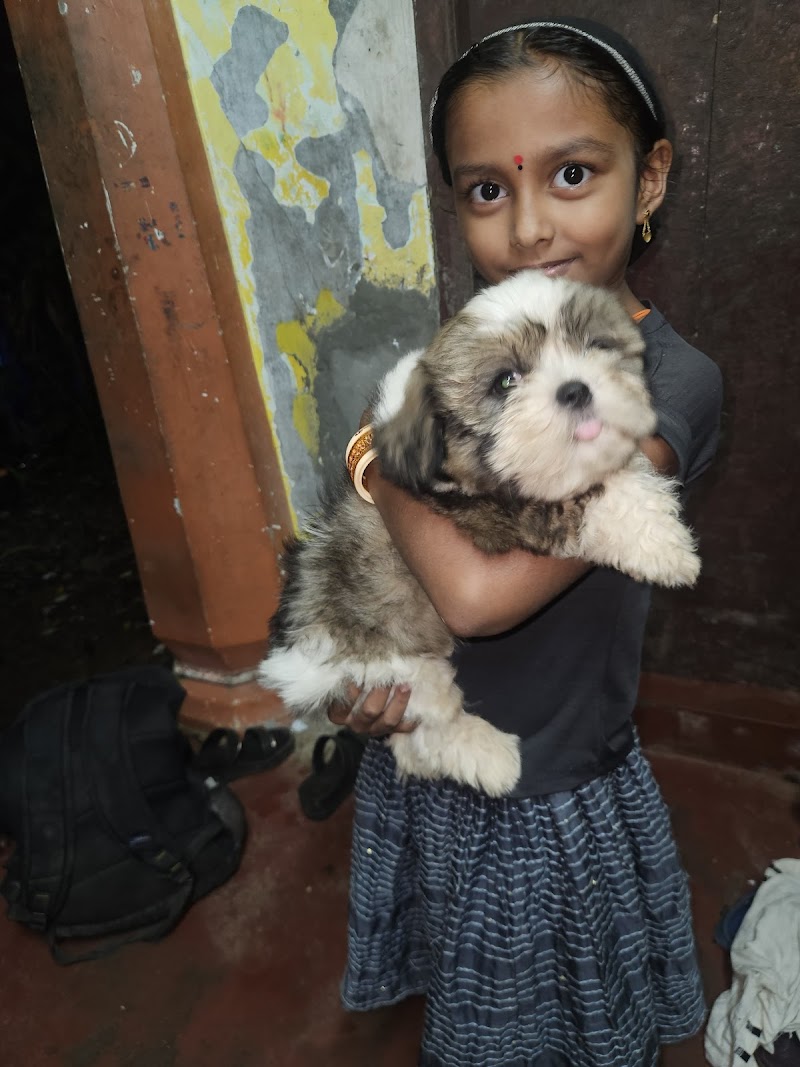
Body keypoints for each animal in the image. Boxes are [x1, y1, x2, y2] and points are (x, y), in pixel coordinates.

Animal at [259, 272, 699, 796]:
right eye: (505, 381)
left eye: (596, 345)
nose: (576, 389)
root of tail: (289, 656)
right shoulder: (491, 513)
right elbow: (588, 502)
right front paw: (667, 548)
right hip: (390, 665)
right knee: (432, 723)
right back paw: (492, 758)